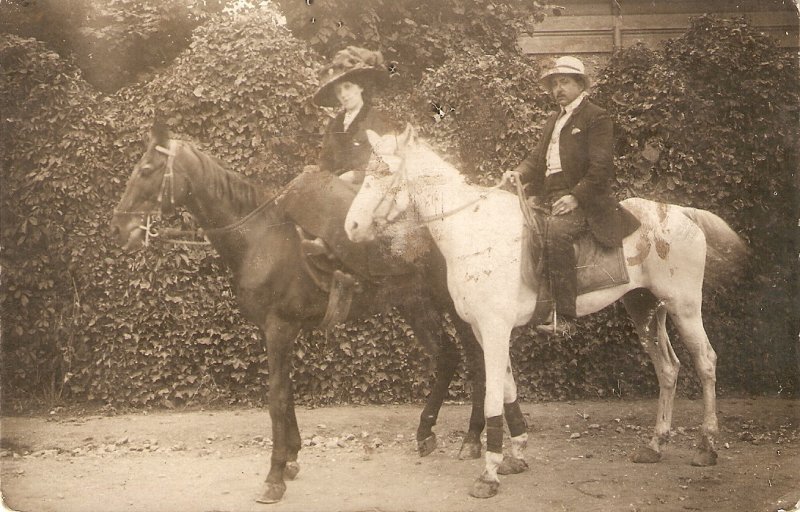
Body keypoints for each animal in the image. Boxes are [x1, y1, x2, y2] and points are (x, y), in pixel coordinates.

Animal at [109, 124, 484, 504]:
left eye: (146, 170)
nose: (119, 228)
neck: (259, 238)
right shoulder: (274, 332)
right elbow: (286, 393)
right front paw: (291, 458)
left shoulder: (279, 329)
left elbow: (276, 399)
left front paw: (274, 476)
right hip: (414, 304)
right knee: (448, 356)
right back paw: (426, 431)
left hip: (453, 304)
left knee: (478, 358)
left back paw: (471, 439)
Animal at [344, 122, 752, 498]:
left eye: (384, 172)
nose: (352, 226)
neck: (475, 230)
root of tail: (681, 212)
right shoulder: (483, 330)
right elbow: (507, 387)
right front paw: (516, 454)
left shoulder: (493, 328)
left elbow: (493, 392)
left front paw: (488, 473)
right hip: (645, 309)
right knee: (667, 368)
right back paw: (654, 446)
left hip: (685, 308)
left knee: (706, 363)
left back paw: (706, 446)